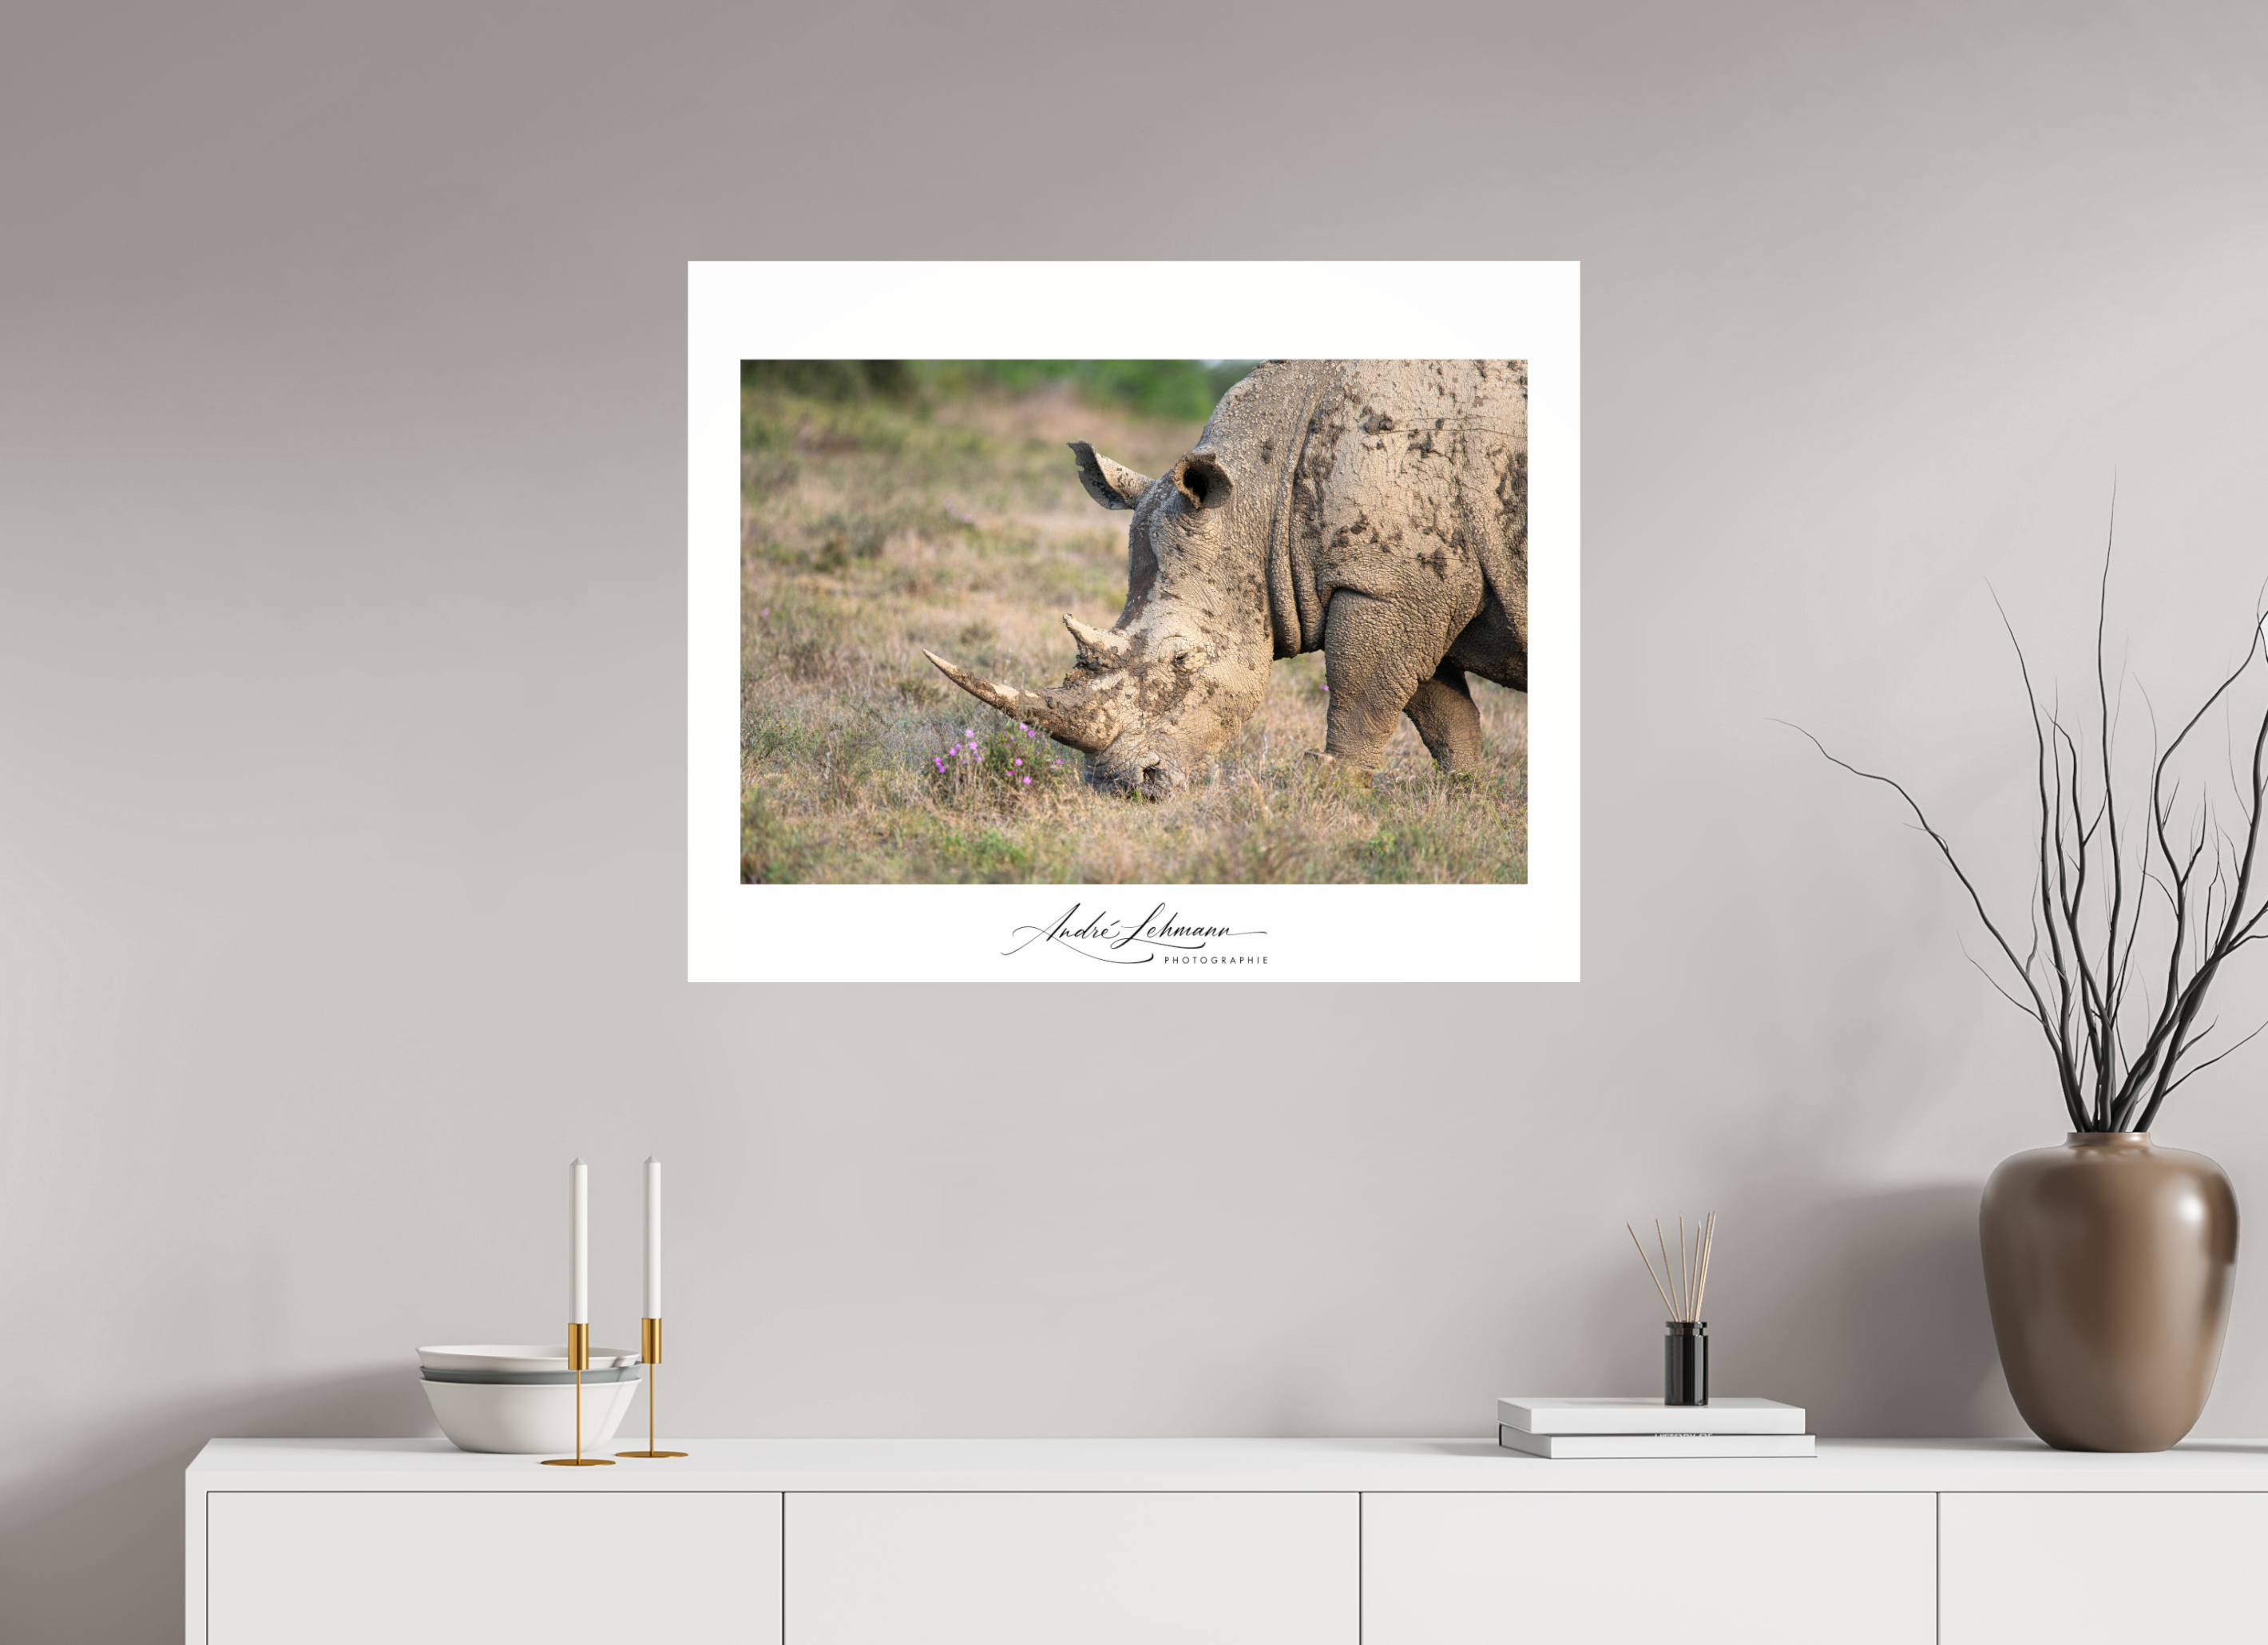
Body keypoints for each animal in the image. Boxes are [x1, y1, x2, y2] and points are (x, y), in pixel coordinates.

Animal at [925, 359, 1526, 798]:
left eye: (1181, 659)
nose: (1126, 788)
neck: (1263, 499)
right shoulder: (1412, 587)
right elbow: (1441, 711)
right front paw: (1465, 796)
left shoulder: (1388, 585)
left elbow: (1363, 691)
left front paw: (1332, 789)